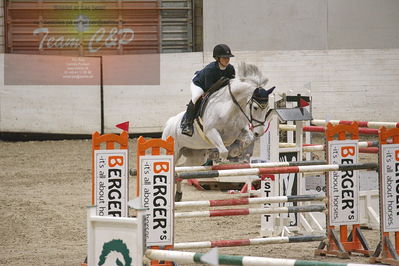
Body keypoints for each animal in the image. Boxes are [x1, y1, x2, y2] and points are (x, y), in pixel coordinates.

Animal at [162, 62, 276, 200]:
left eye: (268, 107)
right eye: (255, 107)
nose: (259, 132)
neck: (230, 108)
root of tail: (169, 123)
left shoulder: (238, 132)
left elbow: (247, 140)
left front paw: (237, 151)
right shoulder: (211, 132)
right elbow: (223, 151)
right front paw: (224, 161)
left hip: (196, 157)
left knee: (180, 170)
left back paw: (178, 195)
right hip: (174, 150)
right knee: (174, 168)